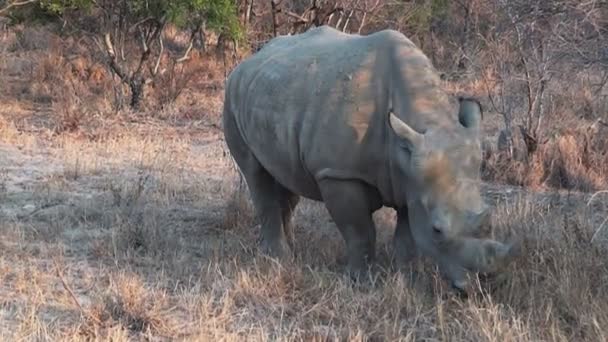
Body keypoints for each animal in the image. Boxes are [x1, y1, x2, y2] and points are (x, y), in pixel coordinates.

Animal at [221, 25, 516, 290]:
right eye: (437, 230)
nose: (488, 282)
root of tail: (248, 61)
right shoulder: (338, 173)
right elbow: (360, 232)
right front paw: (361, 283)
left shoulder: (410, 178)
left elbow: (407, 236)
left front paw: (406, 278)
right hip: (232, 96)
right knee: (256, 174)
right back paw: (277, 259)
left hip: (275, 92)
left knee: (286, 177)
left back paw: (291, 250)